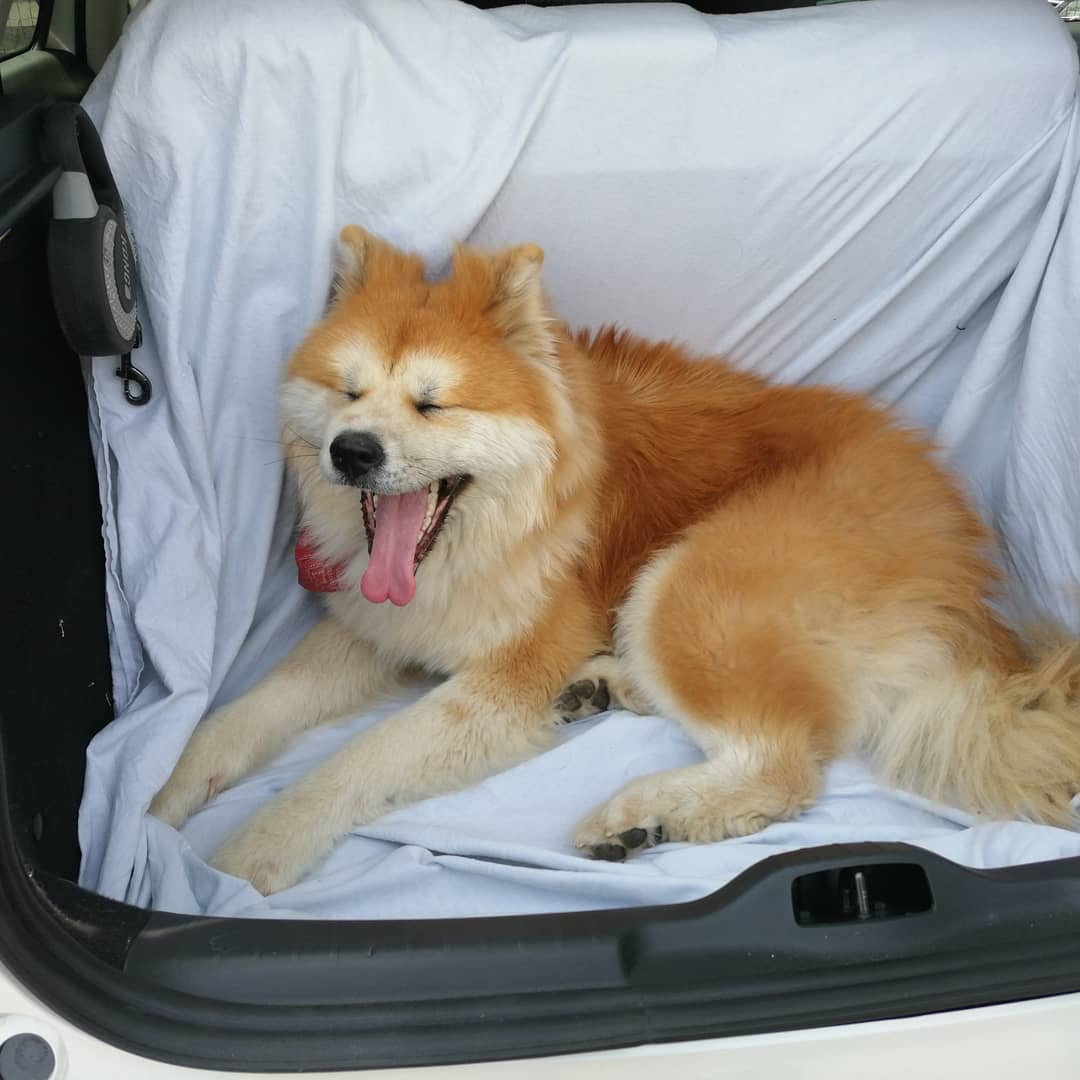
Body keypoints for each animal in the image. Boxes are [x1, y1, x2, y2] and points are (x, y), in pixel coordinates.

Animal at [150, 225, 1080, 894]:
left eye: (433, 404)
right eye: (346, 390)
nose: (352, 452)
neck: (496, 533)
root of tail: (964, 570)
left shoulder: (504, 674)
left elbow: (354, 763)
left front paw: (250, 852)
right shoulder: (383, 630)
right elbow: (240, 718)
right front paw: (160, 795)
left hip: (692, 586)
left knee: (781, 765)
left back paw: (644, 812)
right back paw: (605, 687)